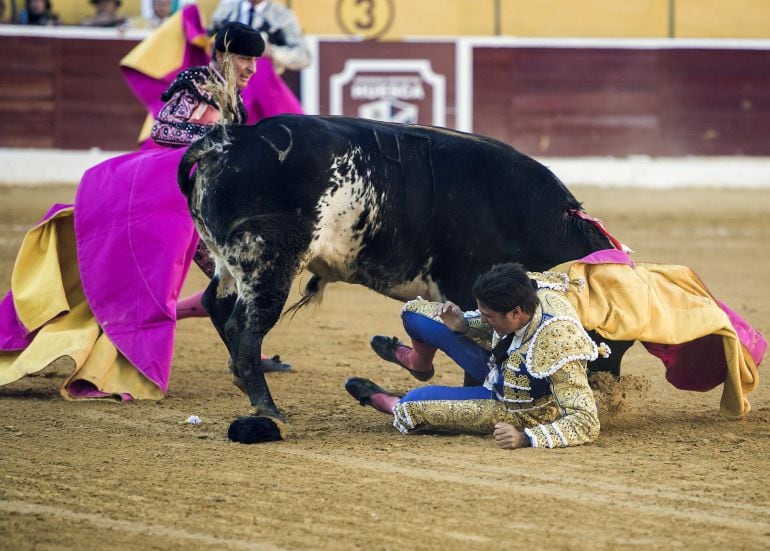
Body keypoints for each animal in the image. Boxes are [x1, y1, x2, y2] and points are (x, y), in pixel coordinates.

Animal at [178, 115, 632, 444]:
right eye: (601, 340)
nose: (607, 397)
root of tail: (228, 140)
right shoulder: (466, 288)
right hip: (269, 261)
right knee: (245, 328)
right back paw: (268, 409)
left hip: (229, 262)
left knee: (216, 305)